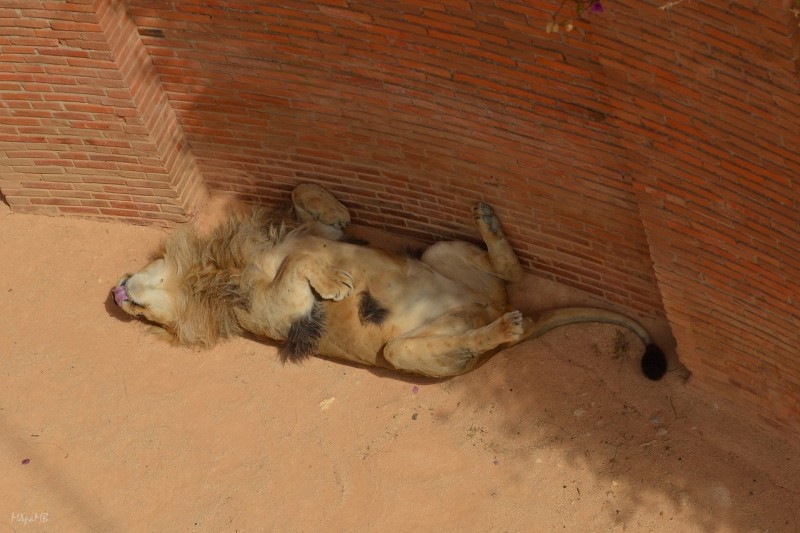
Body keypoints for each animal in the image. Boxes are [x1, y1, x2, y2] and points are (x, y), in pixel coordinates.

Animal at [109, 183, 664, 378]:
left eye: (141, 311)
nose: (118, 296)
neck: (217, 269)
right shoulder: (280, 314)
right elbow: (299, 268)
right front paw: (338, 284)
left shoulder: (318, 233)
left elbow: (305, 200)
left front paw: (336, 205)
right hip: (402, 350)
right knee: (493, 330)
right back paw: (506, 327)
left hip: (440, 251)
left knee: (513, 271)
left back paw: (487, 221)